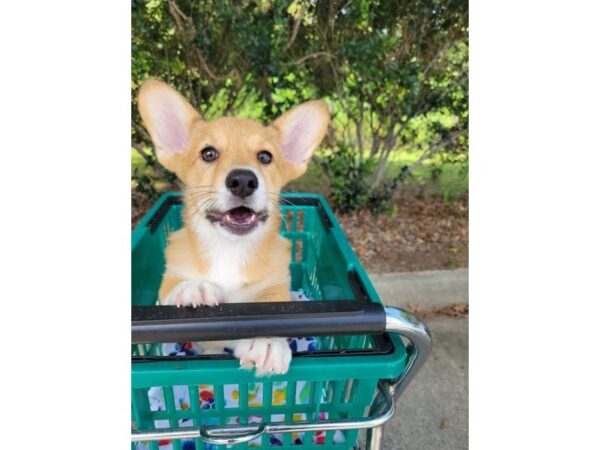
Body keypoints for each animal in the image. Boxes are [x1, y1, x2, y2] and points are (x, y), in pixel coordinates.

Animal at [138, 80, 330, 376]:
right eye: (208, 153)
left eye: (265, 156)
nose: (242, 181)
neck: (229, 249)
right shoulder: (169, 279)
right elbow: (171, 290)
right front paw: (193, 288)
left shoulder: (276, 285)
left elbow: (274, 311)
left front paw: (266, 340)